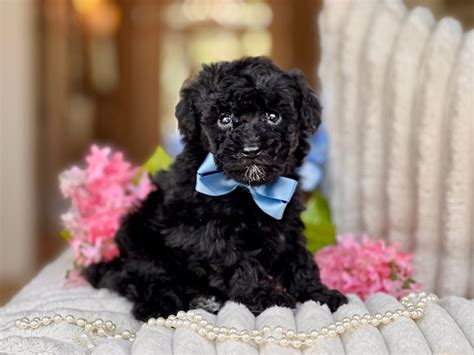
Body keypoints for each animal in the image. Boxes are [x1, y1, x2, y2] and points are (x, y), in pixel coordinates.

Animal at [83, 56, 346, 322]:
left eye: (273, 117)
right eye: (225, 119)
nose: (251, 150)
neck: (248, 189)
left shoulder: (285, 224)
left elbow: (298, 258)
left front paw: (318, 293)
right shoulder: (200, 232)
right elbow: (236, 261)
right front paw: (266, 296)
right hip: (143, 244)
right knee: (150, 281)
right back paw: (162, 306)